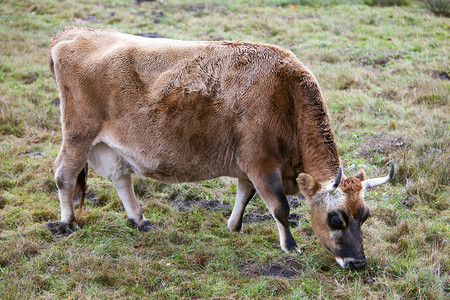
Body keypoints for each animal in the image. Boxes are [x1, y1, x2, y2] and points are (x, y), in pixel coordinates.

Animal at [47, 27, 394, 268]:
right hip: (78, 134)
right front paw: (291, 246)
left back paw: (140, 220)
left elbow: (244, 195)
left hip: (110, 145)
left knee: (121, 178)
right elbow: (279, 207)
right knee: (64, 174)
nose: (358, 263)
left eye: (364, 215)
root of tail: (73, 34)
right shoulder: (261, 163)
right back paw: (67, 223)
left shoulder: (248, 166)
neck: (285, 92)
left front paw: (233, 226)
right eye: (335, 219)